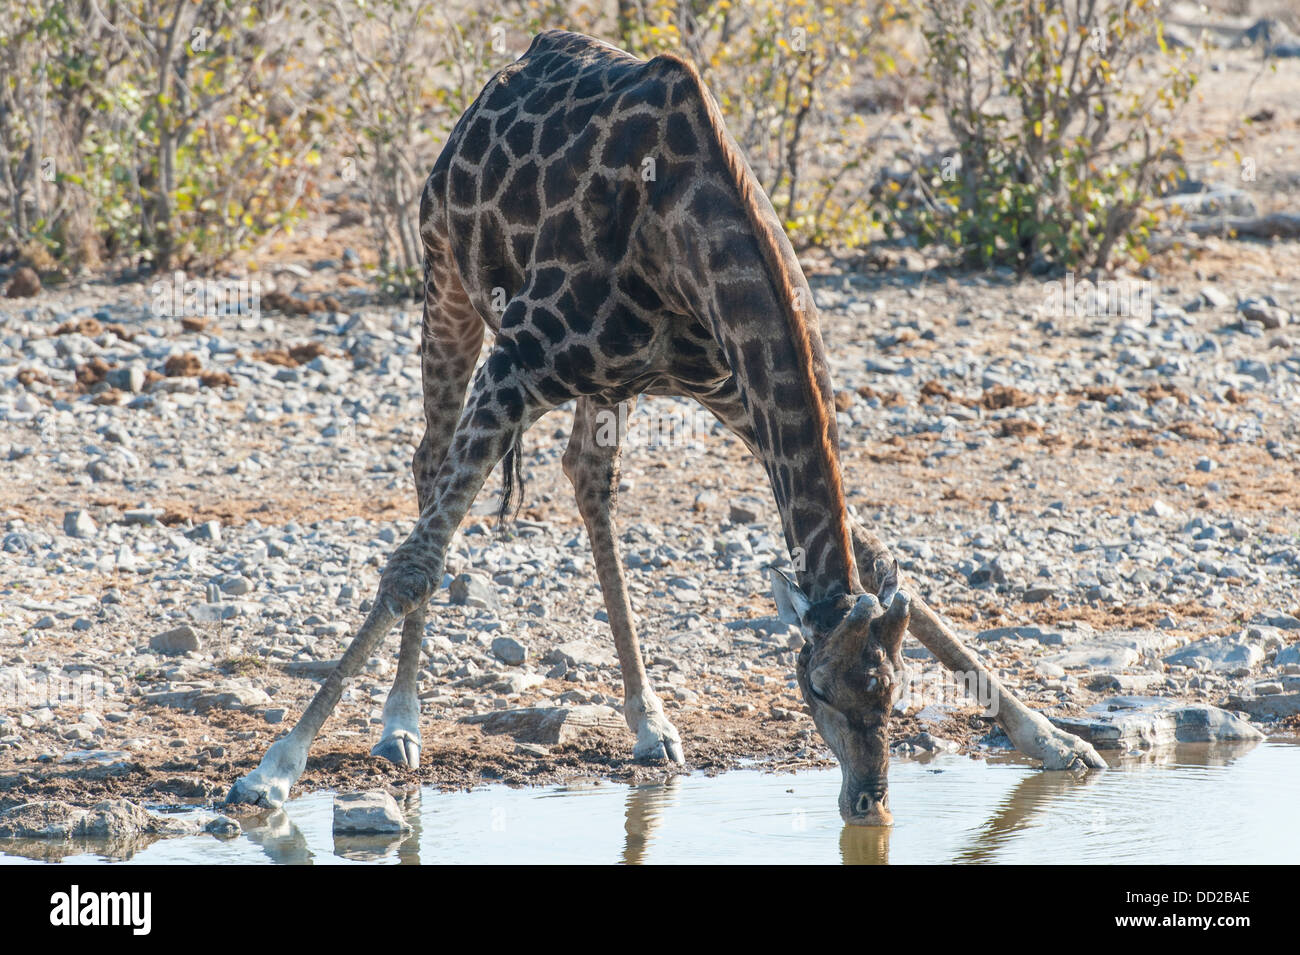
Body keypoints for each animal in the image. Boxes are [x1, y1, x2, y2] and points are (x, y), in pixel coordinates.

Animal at [226, 29, 1107, 821]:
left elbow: (882, 550)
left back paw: (649, 722)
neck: (679, 231)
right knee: (429, 465)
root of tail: (496, 82)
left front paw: (1053, 738)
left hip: (607, 379)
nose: (867, 801)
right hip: (447, 280)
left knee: (586, 477)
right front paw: (273, 771)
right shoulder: (519, 361)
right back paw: (400, 723)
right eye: (815, 685)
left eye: (891, 694)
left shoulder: (733, 384)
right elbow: (414, 563)